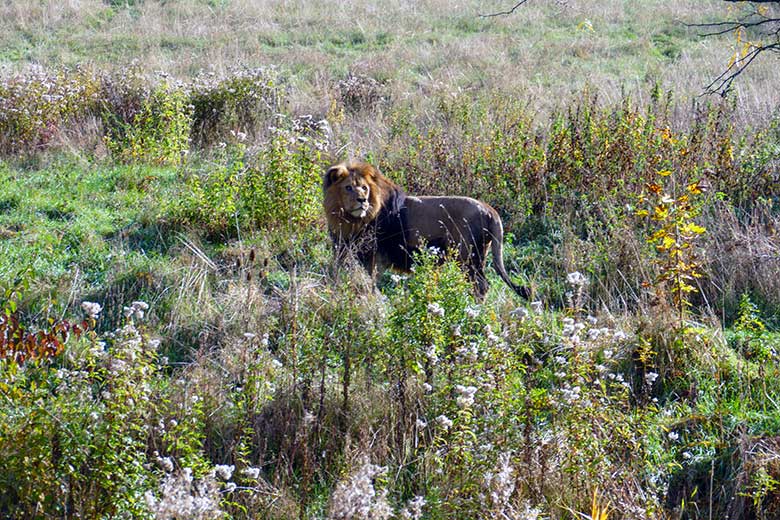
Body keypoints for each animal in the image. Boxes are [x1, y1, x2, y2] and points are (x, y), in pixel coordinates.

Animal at [322, 161, 532, 300]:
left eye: (364, 188)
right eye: (348, 188)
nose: (362, 200)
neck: (353, 221)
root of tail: (490, 210)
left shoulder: (376, 257)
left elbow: (370, 283)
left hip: (468, 257)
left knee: (481, 285)